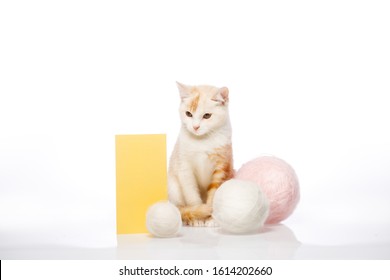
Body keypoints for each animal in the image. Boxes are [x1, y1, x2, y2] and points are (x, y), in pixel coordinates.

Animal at [168, 82, 235, 226]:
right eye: (188, 114)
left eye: (207, 116)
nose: (195, 127)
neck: (202, 141)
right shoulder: (184, 167)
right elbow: (192, 194)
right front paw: (198, 216)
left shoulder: (222, 167)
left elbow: (214, 195)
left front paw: (211, 219)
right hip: (172, 187)